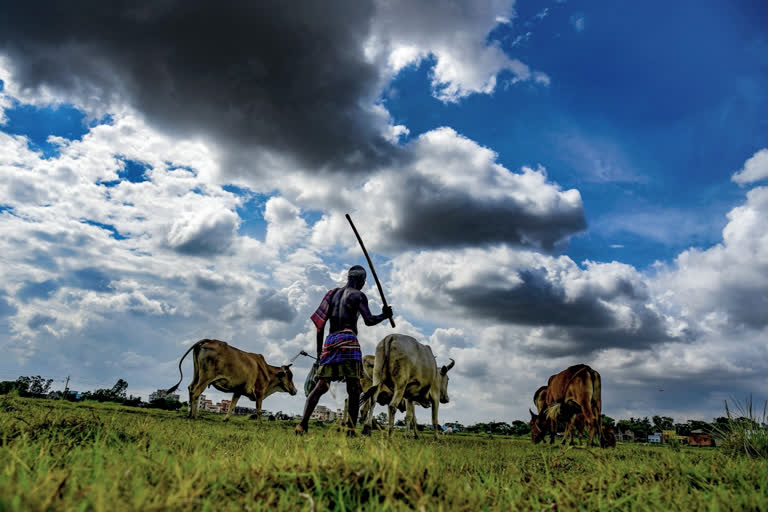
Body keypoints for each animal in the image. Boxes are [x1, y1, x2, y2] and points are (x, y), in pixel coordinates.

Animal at [165, 340, 296, 420]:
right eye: (290, 376)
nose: (295, 390)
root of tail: (210, 340)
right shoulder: (259, 392)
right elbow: (258, 410)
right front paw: (260, 425)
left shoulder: (238, 390)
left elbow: (232, 406)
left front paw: (226, 419)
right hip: (205, 378)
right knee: (196, 392)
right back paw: (194, 417)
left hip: (197, 374)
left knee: (191, 388)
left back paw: (189, 414)